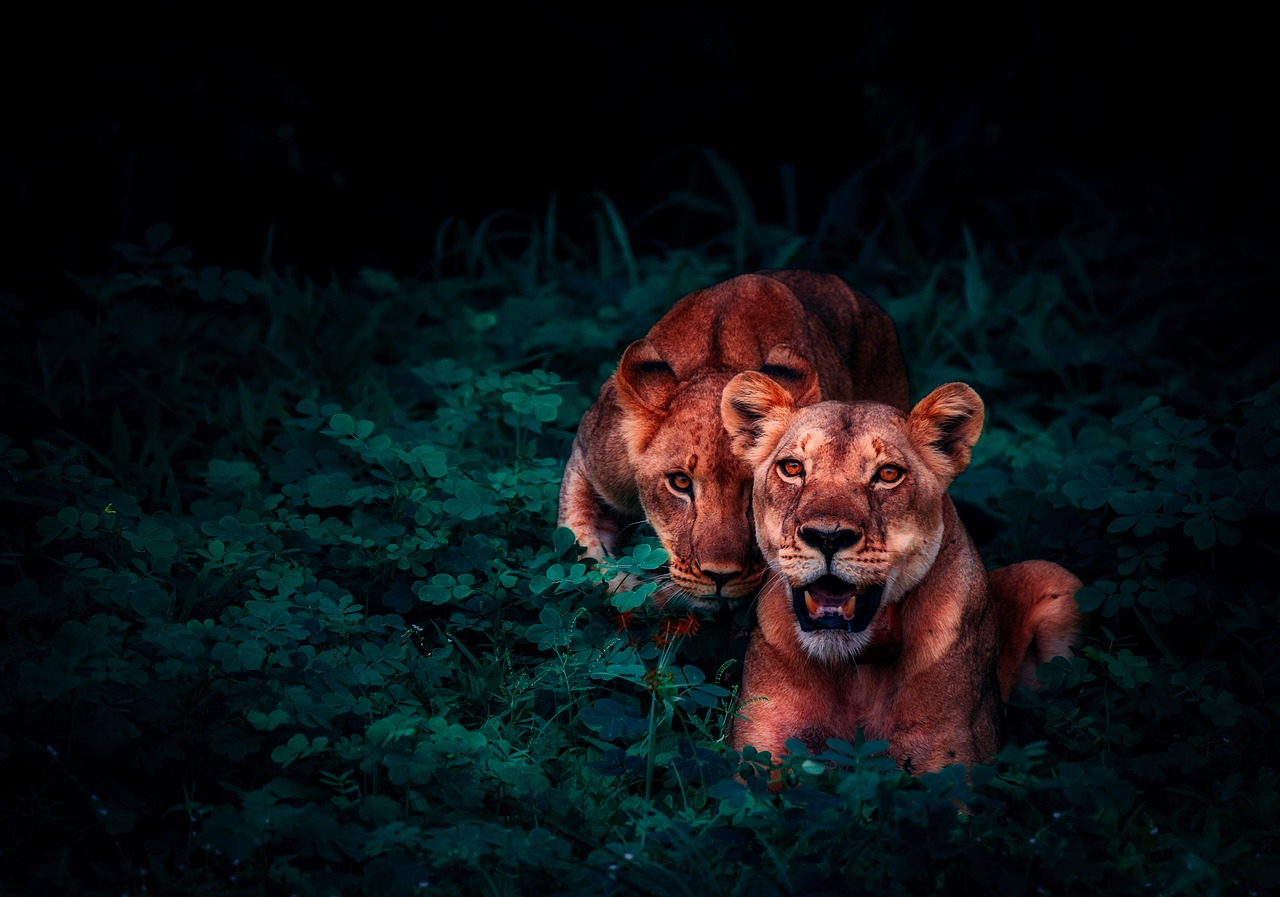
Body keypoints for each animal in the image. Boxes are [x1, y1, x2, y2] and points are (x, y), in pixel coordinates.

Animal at [721, 371, 1080, 777]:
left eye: (888, 474)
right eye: (793, 468)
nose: (827, 536)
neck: (855, 670)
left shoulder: (952, 762)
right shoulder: (758, 749)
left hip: (1054, 576)